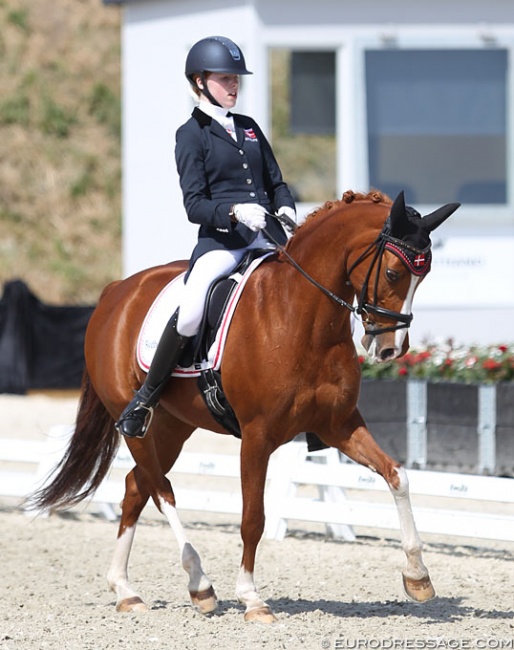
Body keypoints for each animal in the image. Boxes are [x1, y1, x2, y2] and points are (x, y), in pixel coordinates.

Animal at [30, 190, 458, 620]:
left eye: (424, 276)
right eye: (393, 273)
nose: (390, 349)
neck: (302, 317)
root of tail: (116, 290)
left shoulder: (339, 425)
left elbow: (397, 476)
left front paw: (418, 577)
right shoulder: (257, 435)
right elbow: (253, 517)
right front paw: (251, 597)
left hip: (172, 426)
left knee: (137, 487)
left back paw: (125, 590)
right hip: (135, 420)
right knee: (161, 489)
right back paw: (199, 583)